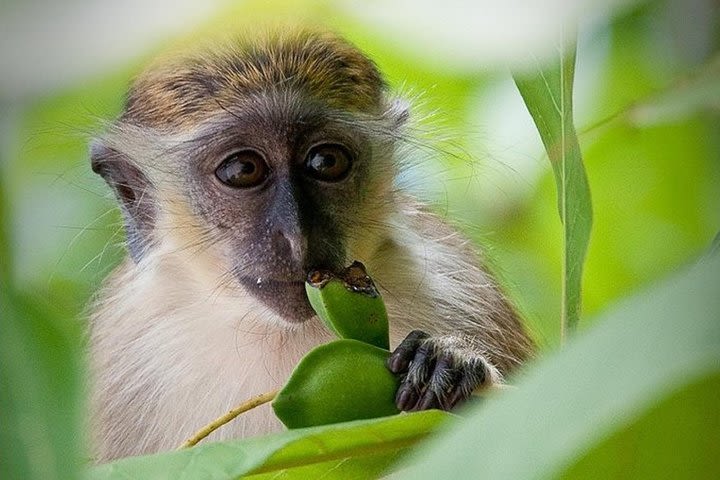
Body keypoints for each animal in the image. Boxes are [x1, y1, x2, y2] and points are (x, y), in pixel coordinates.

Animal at [87, 27, 532, 462]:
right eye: (243, 169)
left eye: (325, 162)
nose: (296, 234)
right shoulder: (124, 342)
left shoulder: (458, 277)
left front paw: (452, 361)